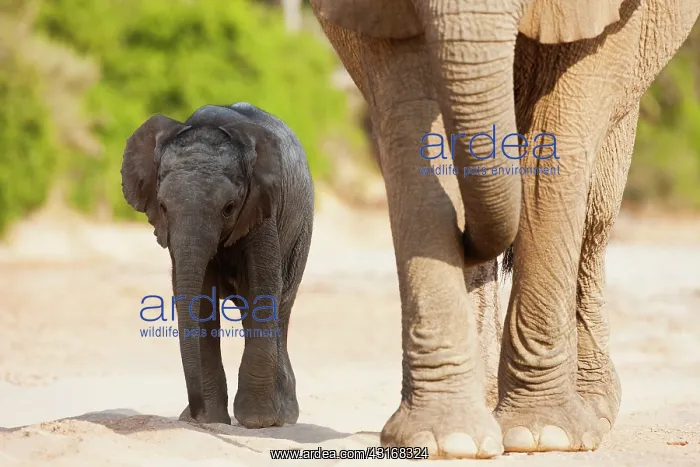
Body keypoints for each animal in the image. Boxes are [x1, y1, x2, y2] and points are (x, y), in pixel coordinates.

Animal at [121, 102, 314, 428]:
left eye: (229, 208)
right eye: (163, 207)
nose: (194, 413)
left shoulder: (261, 208)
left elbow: (263, 288)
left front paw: (257, 421)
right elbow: (199, 298)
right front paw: (210, 420)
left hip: (302, 229)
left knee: (282, 304)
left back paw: (284, 416)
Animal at [310, 0, 700, 459]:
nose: (465, 237)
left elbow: (556, 144)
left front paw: (543, 436)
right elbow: (415, 133)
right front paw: (446, 440)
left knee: (597, 213)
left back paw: (591, 410)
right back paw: (487, 411)